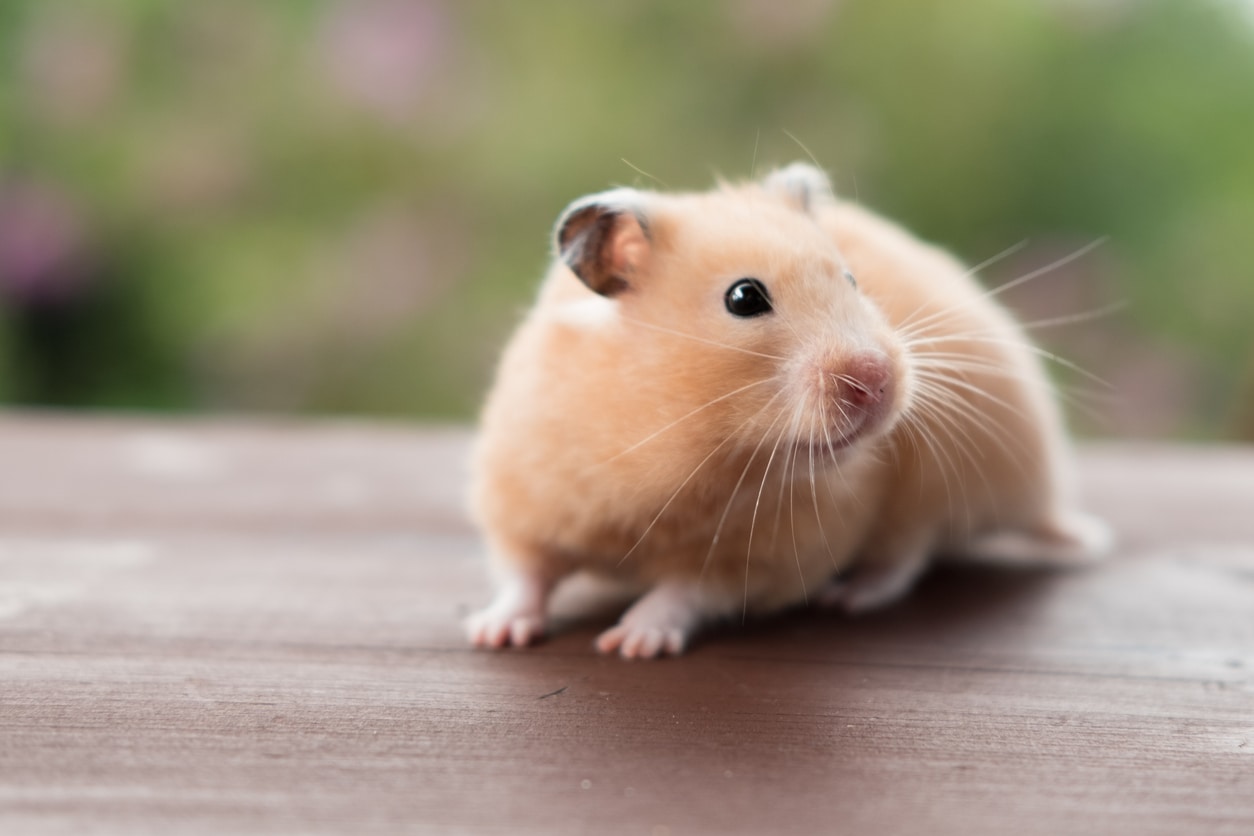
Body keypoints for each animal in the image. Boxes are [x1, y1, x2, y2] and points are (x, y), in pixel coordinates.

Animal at [466, 163, 1111, 659]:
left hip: (937, 482)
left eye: (851, 278)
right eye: (744, 297)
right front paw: (492, 634)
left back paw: (847, 597)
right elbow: (524, 573)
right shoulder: (524, 497)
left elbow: (685, 591)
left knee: (909, 553)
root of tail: (1041, 499)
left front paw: (630, 644)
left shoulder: (763, 559)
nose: (877, 381)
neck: (680, 440)